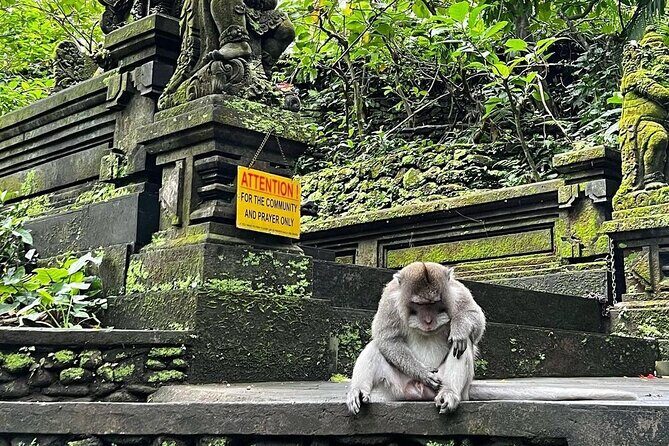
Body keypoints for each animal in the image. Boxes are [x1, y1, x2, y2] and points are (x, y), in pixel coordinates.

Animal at [346, 261, 637, 415]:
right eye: (418, 305)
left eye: (436, 304)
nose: (428, 321)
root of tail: (419, 394)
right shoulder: (389, 299)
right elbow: (385, 337)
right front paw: (423, 372)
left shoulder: (457, 291)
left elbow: (474, 320)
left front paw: (460, 328)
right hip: (396, 389)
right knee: (374, 348)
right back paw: (359, 391)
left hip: (455, 387)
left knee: (461, 349)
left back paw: (449, 394)